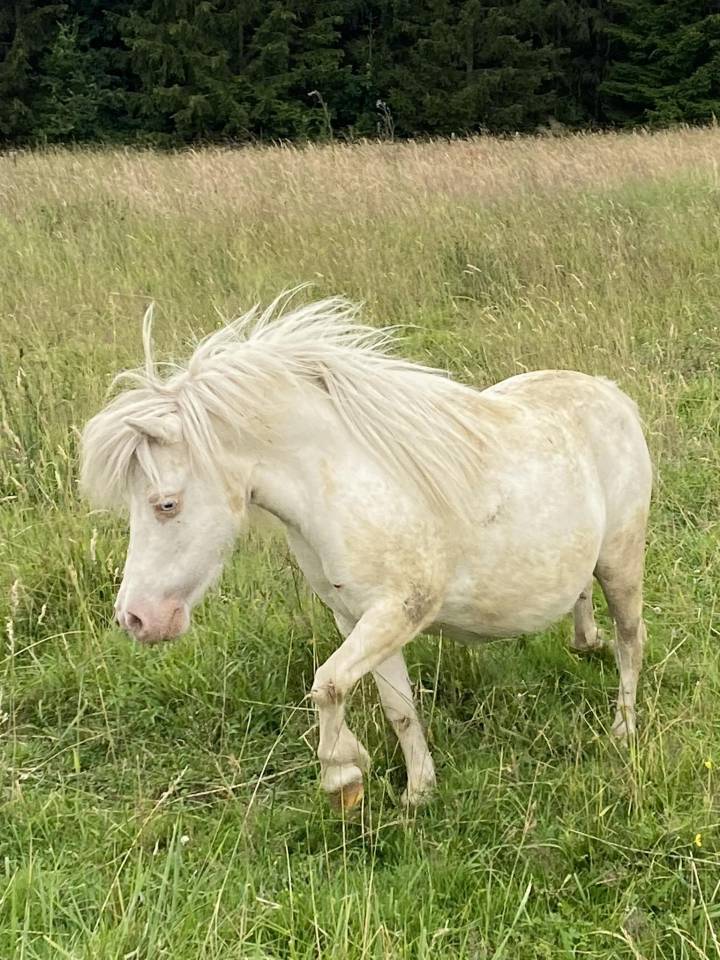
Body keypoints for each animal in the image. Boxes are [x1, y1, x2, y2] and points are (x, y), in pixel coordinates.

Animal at [80, 293, 652, 810]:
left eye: (166, 504)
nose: (134, 618)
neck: (342, 487)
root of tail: (613, 396)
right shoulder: (355, 619)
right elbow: (397, 707)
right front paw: (418, 793)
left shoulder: (396, 613)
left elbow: (328, 685)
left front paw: (343, 774)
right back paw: (587, 643)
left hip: (621, 564)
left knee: (631, 640)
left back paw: (623, 729)